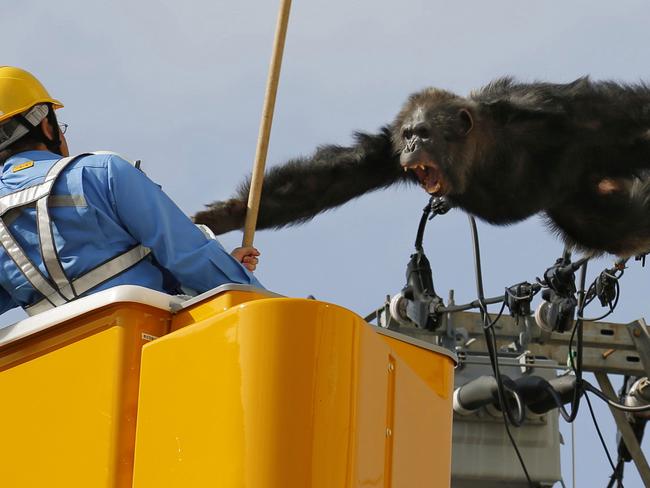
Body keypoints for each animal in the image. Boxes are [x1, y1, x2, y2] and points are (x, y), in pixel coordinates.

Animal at [195, 77, 648, 255]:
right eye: (409, 133)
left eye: (424, 133)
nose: (412, 144)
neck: (483, 150)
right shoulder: (386, 153)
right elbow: (332, 178)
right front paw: (229, 214)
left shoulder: (562, 115)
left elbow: (630, 115)